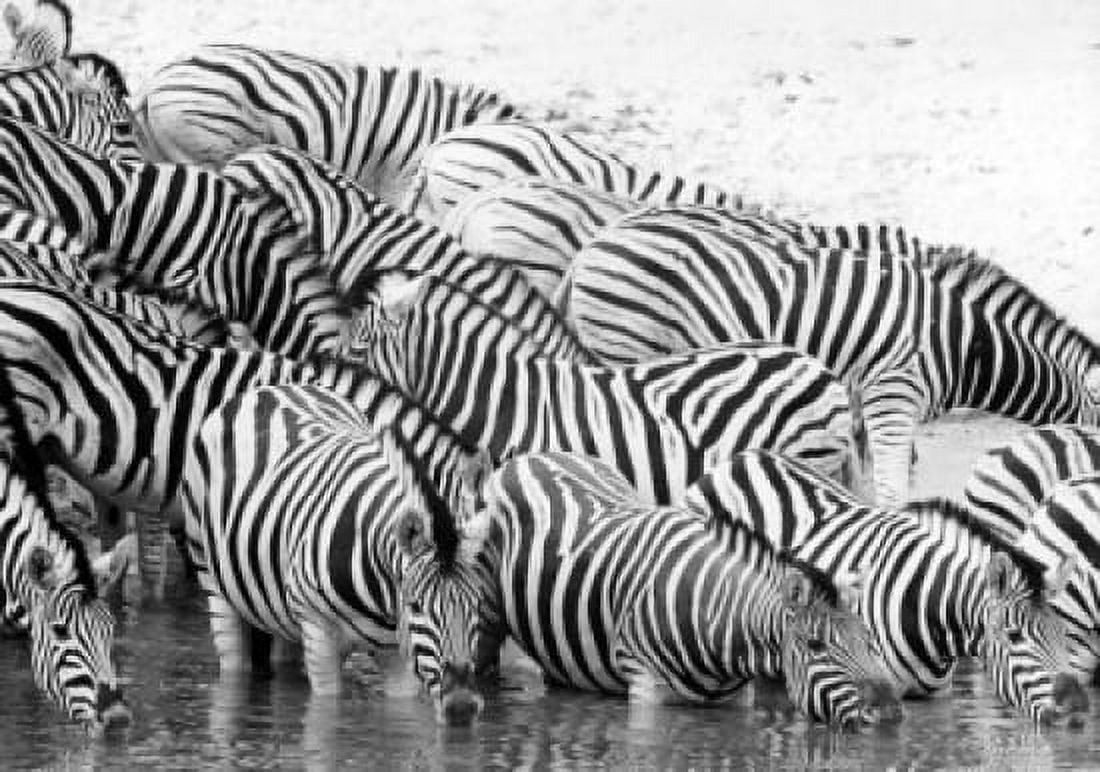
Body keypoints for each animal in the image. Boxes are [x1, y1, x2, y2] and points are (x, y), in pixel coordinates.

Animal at [182, 384, 490, 722]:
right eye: (417, 605)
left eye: (476, 604)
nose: (462, 707)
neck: (383, 599)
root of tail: (273, 388)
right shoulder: (319, 637)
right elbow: (326, 713)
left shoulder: (401, 654)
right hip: (210, 574)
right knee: (233, 662)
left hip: (281, 608)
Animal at [409, 450, 903, 727]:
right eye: (817, 646)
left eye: (870, 640)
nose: (892, 716)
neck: (718, 622)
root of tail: (523, 459)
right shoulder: (645, 690)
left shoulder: (735, 700)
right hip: (483, 622)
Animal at [688, 449, 1090, 724]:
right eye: (1014, 636)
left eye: (1062, 633)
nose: (1077, 709)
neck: (929, 610)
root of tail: (738, 459)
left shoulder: (932, 702)